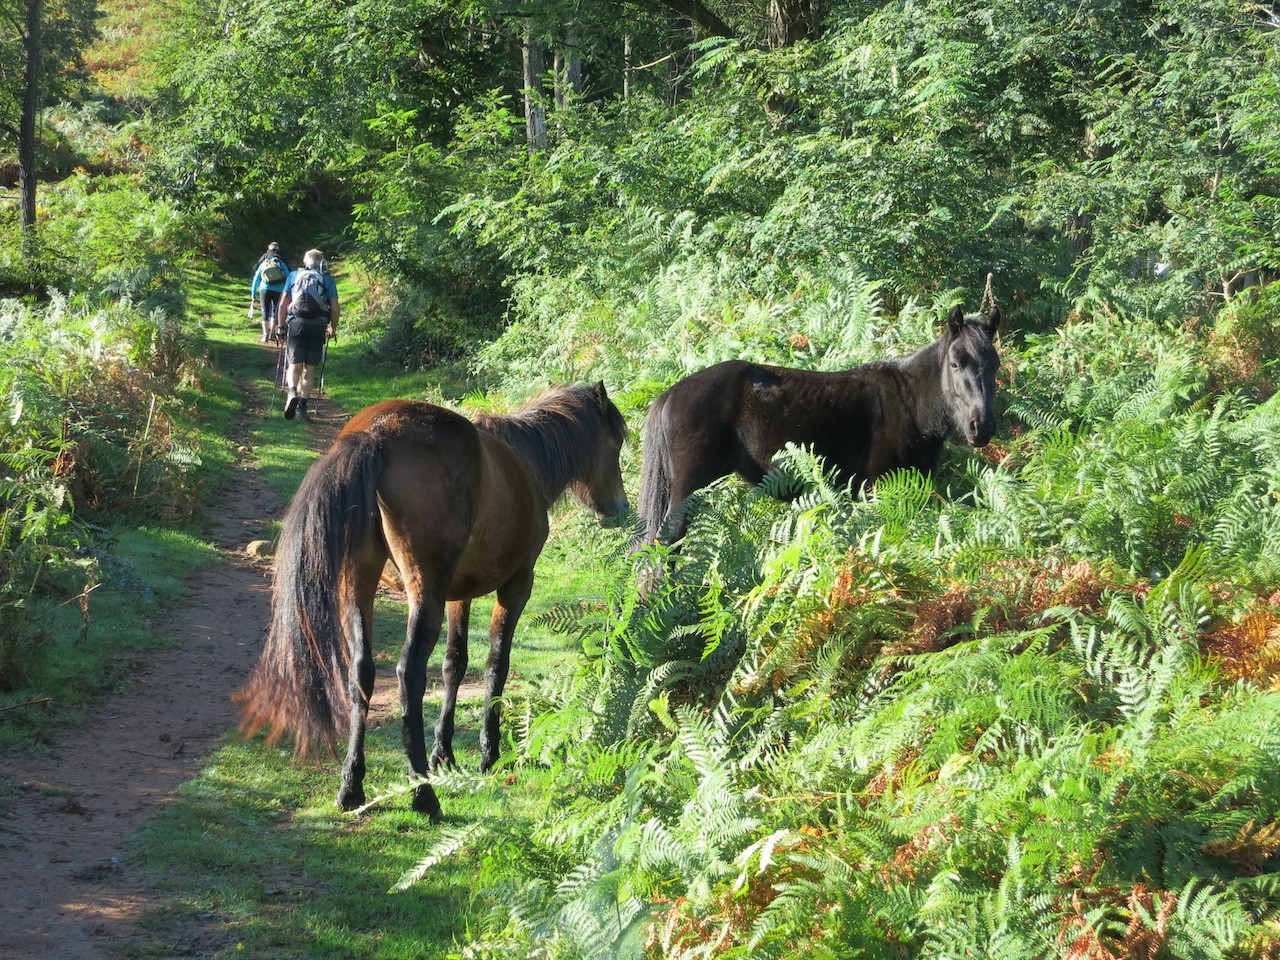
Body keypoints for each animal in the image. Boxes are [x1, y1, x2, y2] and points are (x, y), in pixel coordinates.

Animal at [238, 384, 627, 819]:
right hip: (425, 593)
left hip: (361, 584)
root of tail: (377, 433)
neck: (526, 460)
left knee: (362, 671)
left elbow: (454, 664)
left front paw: (444, 753)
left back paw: (352, 786)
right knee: (409, 674)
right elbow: (496, 665)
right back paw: (423, 794)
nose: (621, 508)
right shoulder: (516, 586)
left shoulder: (460, 595)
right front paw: (488, 755)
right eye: (616, 443)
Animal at [640, 309, 998, 547]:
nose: (981, 426)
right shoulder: (878, 493)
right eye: (955, 364)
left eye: (994, 364)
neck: (909, 401)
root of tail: (672, 392)